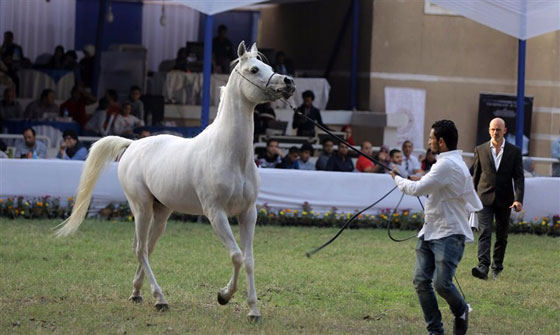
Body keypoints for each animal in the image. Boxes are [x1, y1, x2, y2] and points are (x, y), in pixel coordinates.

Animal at [54, 42, 296, 322]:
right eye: (254, 69)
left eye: (269, 66)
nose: (288, 82)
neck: (230, 154)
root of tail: (132, 144)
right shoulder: (216, 214)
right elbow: (236, 256)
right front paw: (223, 296)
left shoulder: (248, 213)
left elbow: (248, 260)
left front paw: (253, 311)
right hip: (142, 208)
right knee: (140, 249)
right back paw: (159, 299)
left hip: (162, 213)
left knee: (147, 248)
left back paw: (137, 293)